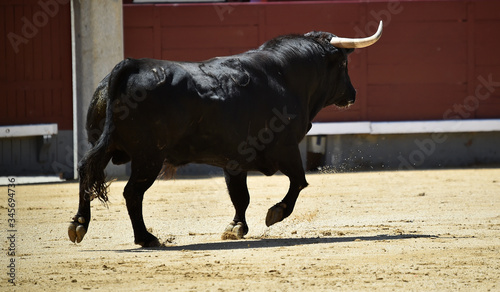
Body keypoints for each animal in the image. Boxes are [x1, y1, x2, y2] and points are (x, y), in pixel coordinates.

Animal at [68, 30, 362, 246]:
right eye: (344, 63)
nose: (353, 94)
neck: (286, 76)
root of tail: (129, 65)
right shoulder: (286, 148)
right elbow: (299, 181)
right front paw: (275, 213)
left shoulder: (235, 160)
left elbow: (240, 196)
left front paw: (235, 227)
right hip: (148, 157)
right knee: (132, 192)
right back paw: (145, 238)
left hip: (105, 145)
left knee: (86, 170)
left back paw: (79, 224)